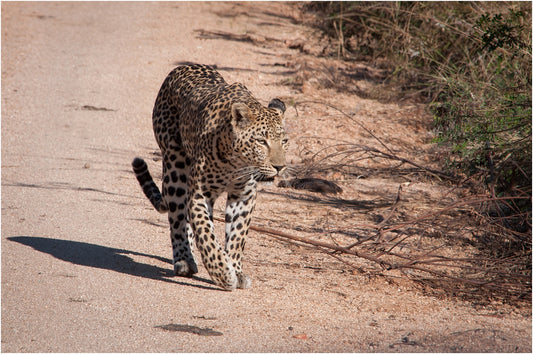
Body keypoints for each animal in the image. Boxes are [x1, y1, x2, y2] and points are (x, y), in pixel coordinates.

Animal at [131, 64, 286, 290]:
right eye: (261, 141)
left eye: (284, 141)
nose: (280, 167)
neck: (236, 164)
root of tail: (181, 67)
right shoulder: (200, 194)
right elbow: (206, 232)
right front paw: (222, 272)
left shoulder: (243, 196)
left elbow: (237, 235)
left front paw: (236, 270)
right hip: (175, 165)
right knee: (178, 218)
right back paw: (184, 260)